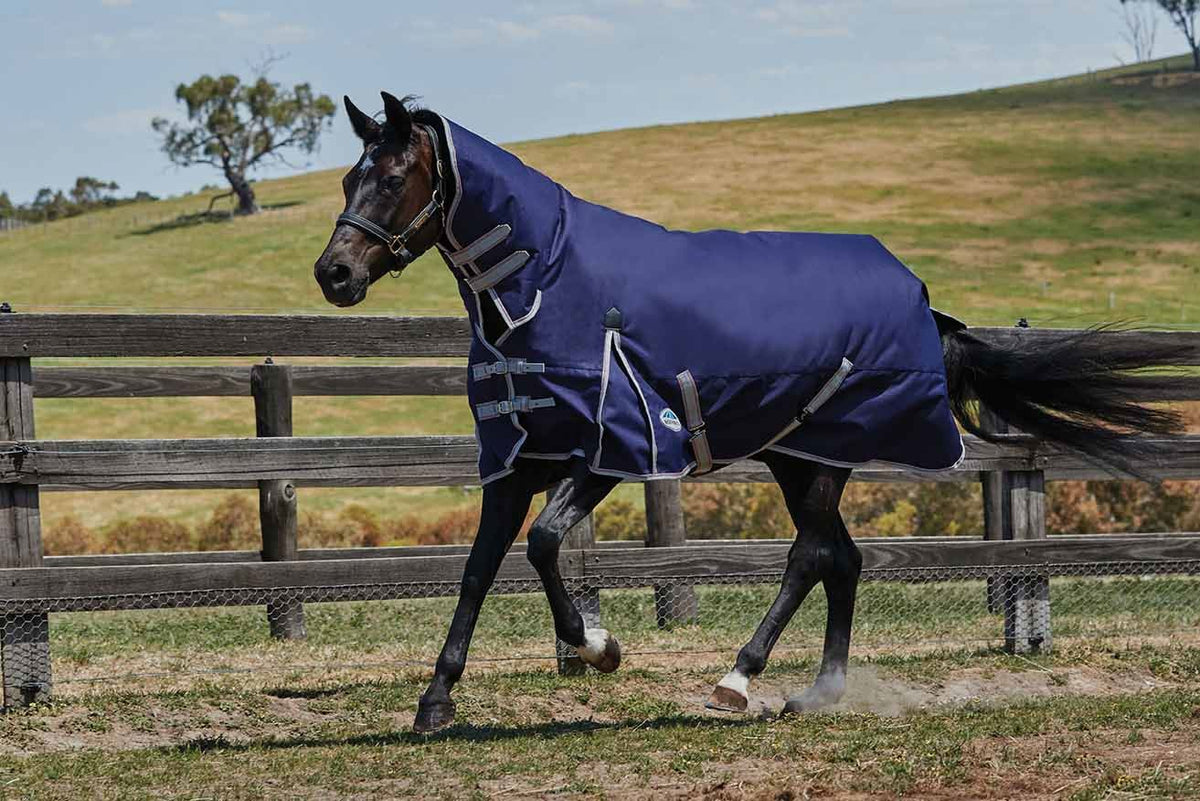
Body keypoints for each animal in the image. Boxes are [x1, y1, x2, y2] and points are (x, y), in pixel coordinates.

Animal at [314, 92, 1191, 734]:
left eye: (390, 177)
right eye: (348, 181)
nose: (334, 274)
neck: (543, 286)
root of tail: (925, 304)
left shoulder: (610, 452)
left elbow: (545, 544)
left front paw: (599, 647)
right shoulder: (515, 461)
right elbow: (477, 568)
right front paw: (435, 701)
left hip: (823, 460)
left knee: (813, 556)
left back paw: (738, 678)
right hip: (798, 459)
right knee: (844, 560)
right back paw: (817, 691)